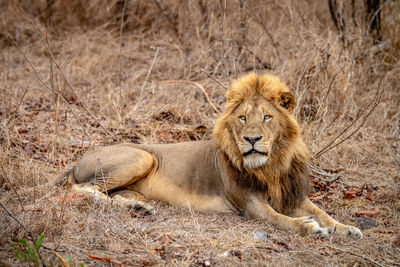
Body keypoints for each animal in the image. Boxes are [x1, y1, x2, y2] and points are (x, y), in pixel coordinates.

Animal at [62, 73, 362, 239]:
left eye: (267, 117)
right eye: (243, 118)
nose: (252, 139)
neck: (272, 165)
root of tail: (80, 158)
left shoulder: (292, 195)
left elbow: (323, 212)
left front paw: (346, 228)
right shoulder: (250, 203)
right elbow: (279, 220)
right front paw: (310, 228)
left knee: (113, 195)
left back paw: (139, 208)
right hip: (143, 157)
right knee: (80, 188)